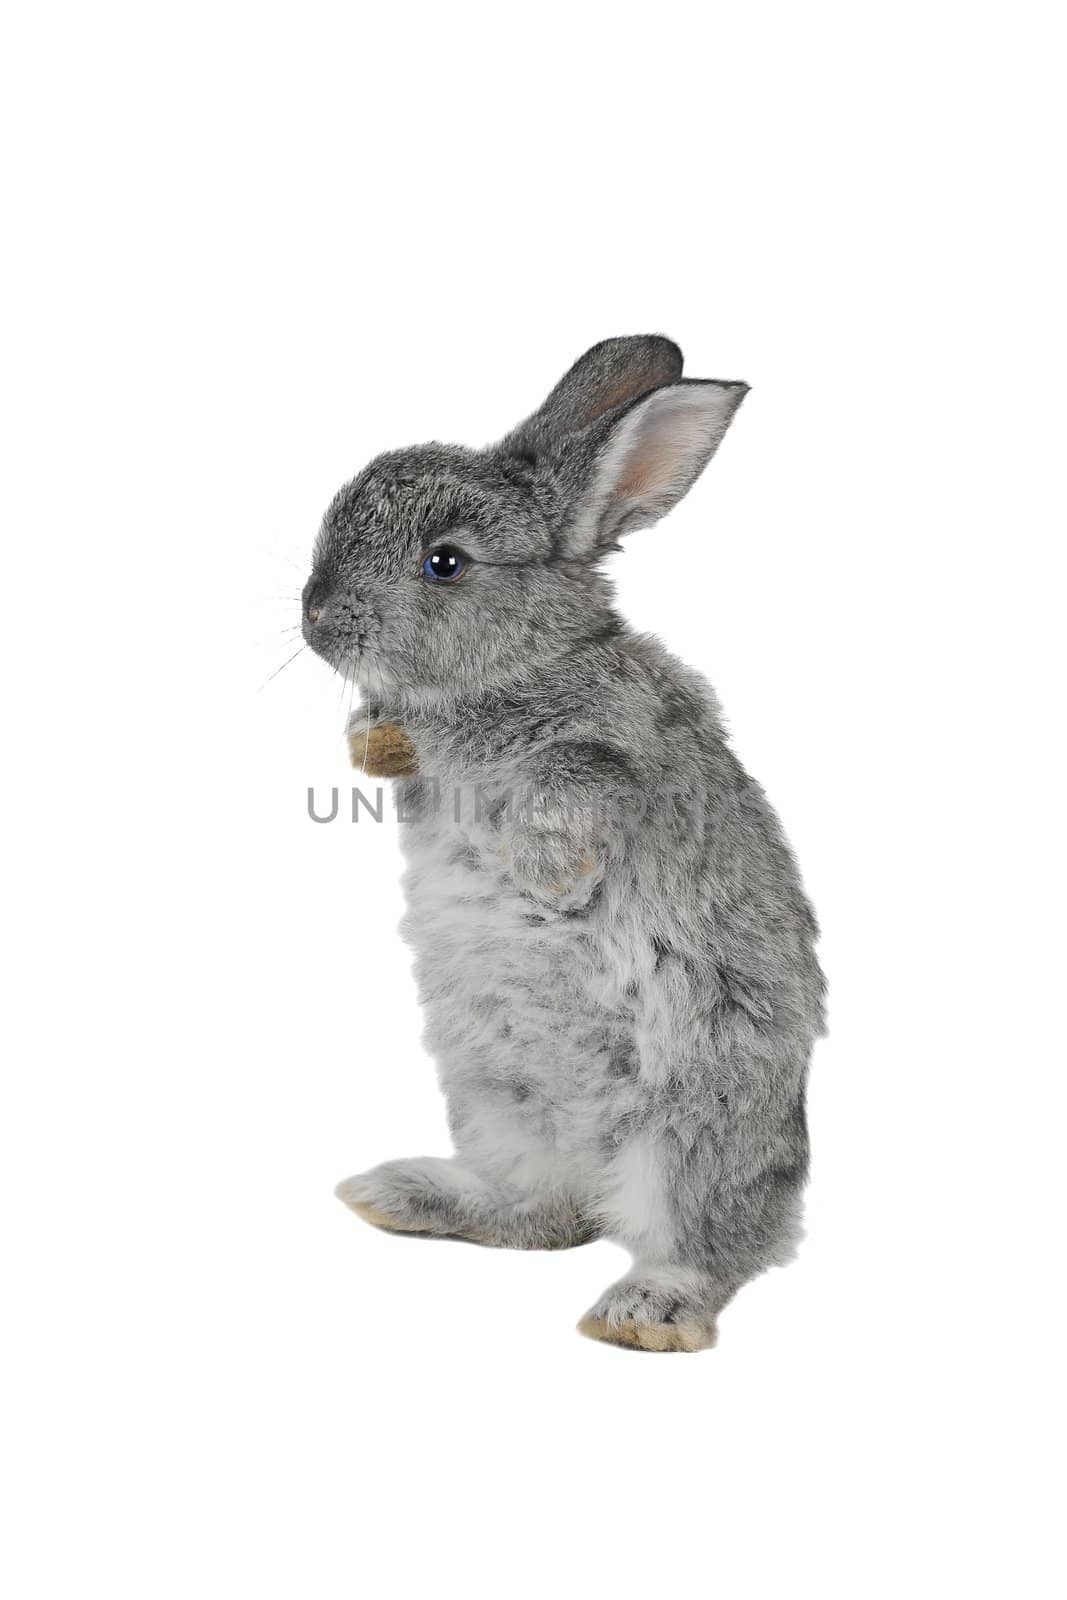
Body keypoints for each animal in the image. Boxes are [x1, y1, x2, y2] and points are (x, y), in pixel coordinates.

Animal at [300, 334, 825, 1350]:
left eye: (444, 562)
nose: (314, 619)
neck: (518, 661)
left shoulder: (608, 753)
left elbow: (563, 793)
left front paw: (547, 874)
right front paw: (376, 743)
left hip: (691, 1126)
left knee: (706, 1247)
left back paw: (643, 1312)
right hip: (499, 1099)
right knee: (547, 1218)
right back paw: (400, 1195)